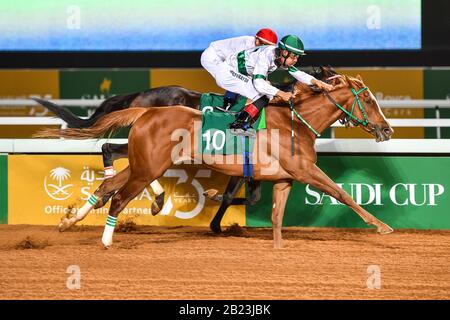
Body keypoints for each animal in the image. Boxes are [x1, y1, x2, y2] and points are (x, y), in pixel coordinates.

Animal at [37, 74, 392, 249]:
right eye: (369, 100)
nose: (387, 129)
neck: (295, 123)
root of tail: (146, 109)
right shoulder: (305, 171)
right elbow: (341, 193)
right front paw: (382, 226)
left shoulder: (282, 178)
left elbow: (275, 215)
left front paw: (278, 249)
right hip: (150, 165)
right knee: (120, 193)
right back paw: (109, 238)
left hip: (143, 163)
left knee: (110, 182)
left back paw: (70, 220)